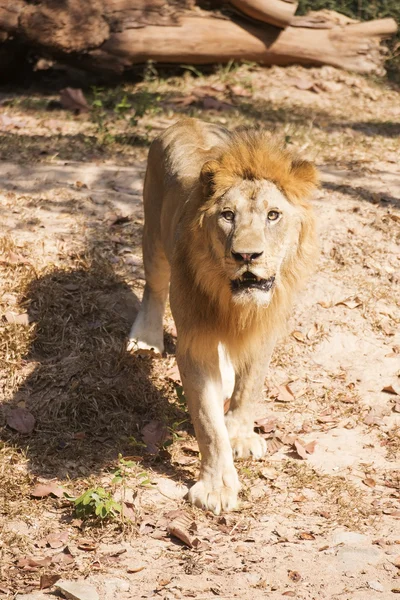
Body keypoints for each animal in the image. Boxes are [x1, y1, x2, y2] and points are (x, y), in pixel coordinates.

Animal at [128, 118, 318, 516]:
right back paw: (145, 340)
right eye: (227, 215)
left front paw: (241, 435)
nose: (246, 256)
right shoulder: (195, 344)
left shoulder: (264, 332)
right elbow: (208, 422)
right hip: (153, 238)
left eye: (273, 215)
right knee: (154, 287)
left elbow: (250, 388)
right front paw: (216, 487)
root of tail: (186, 120)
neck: (236, 305)